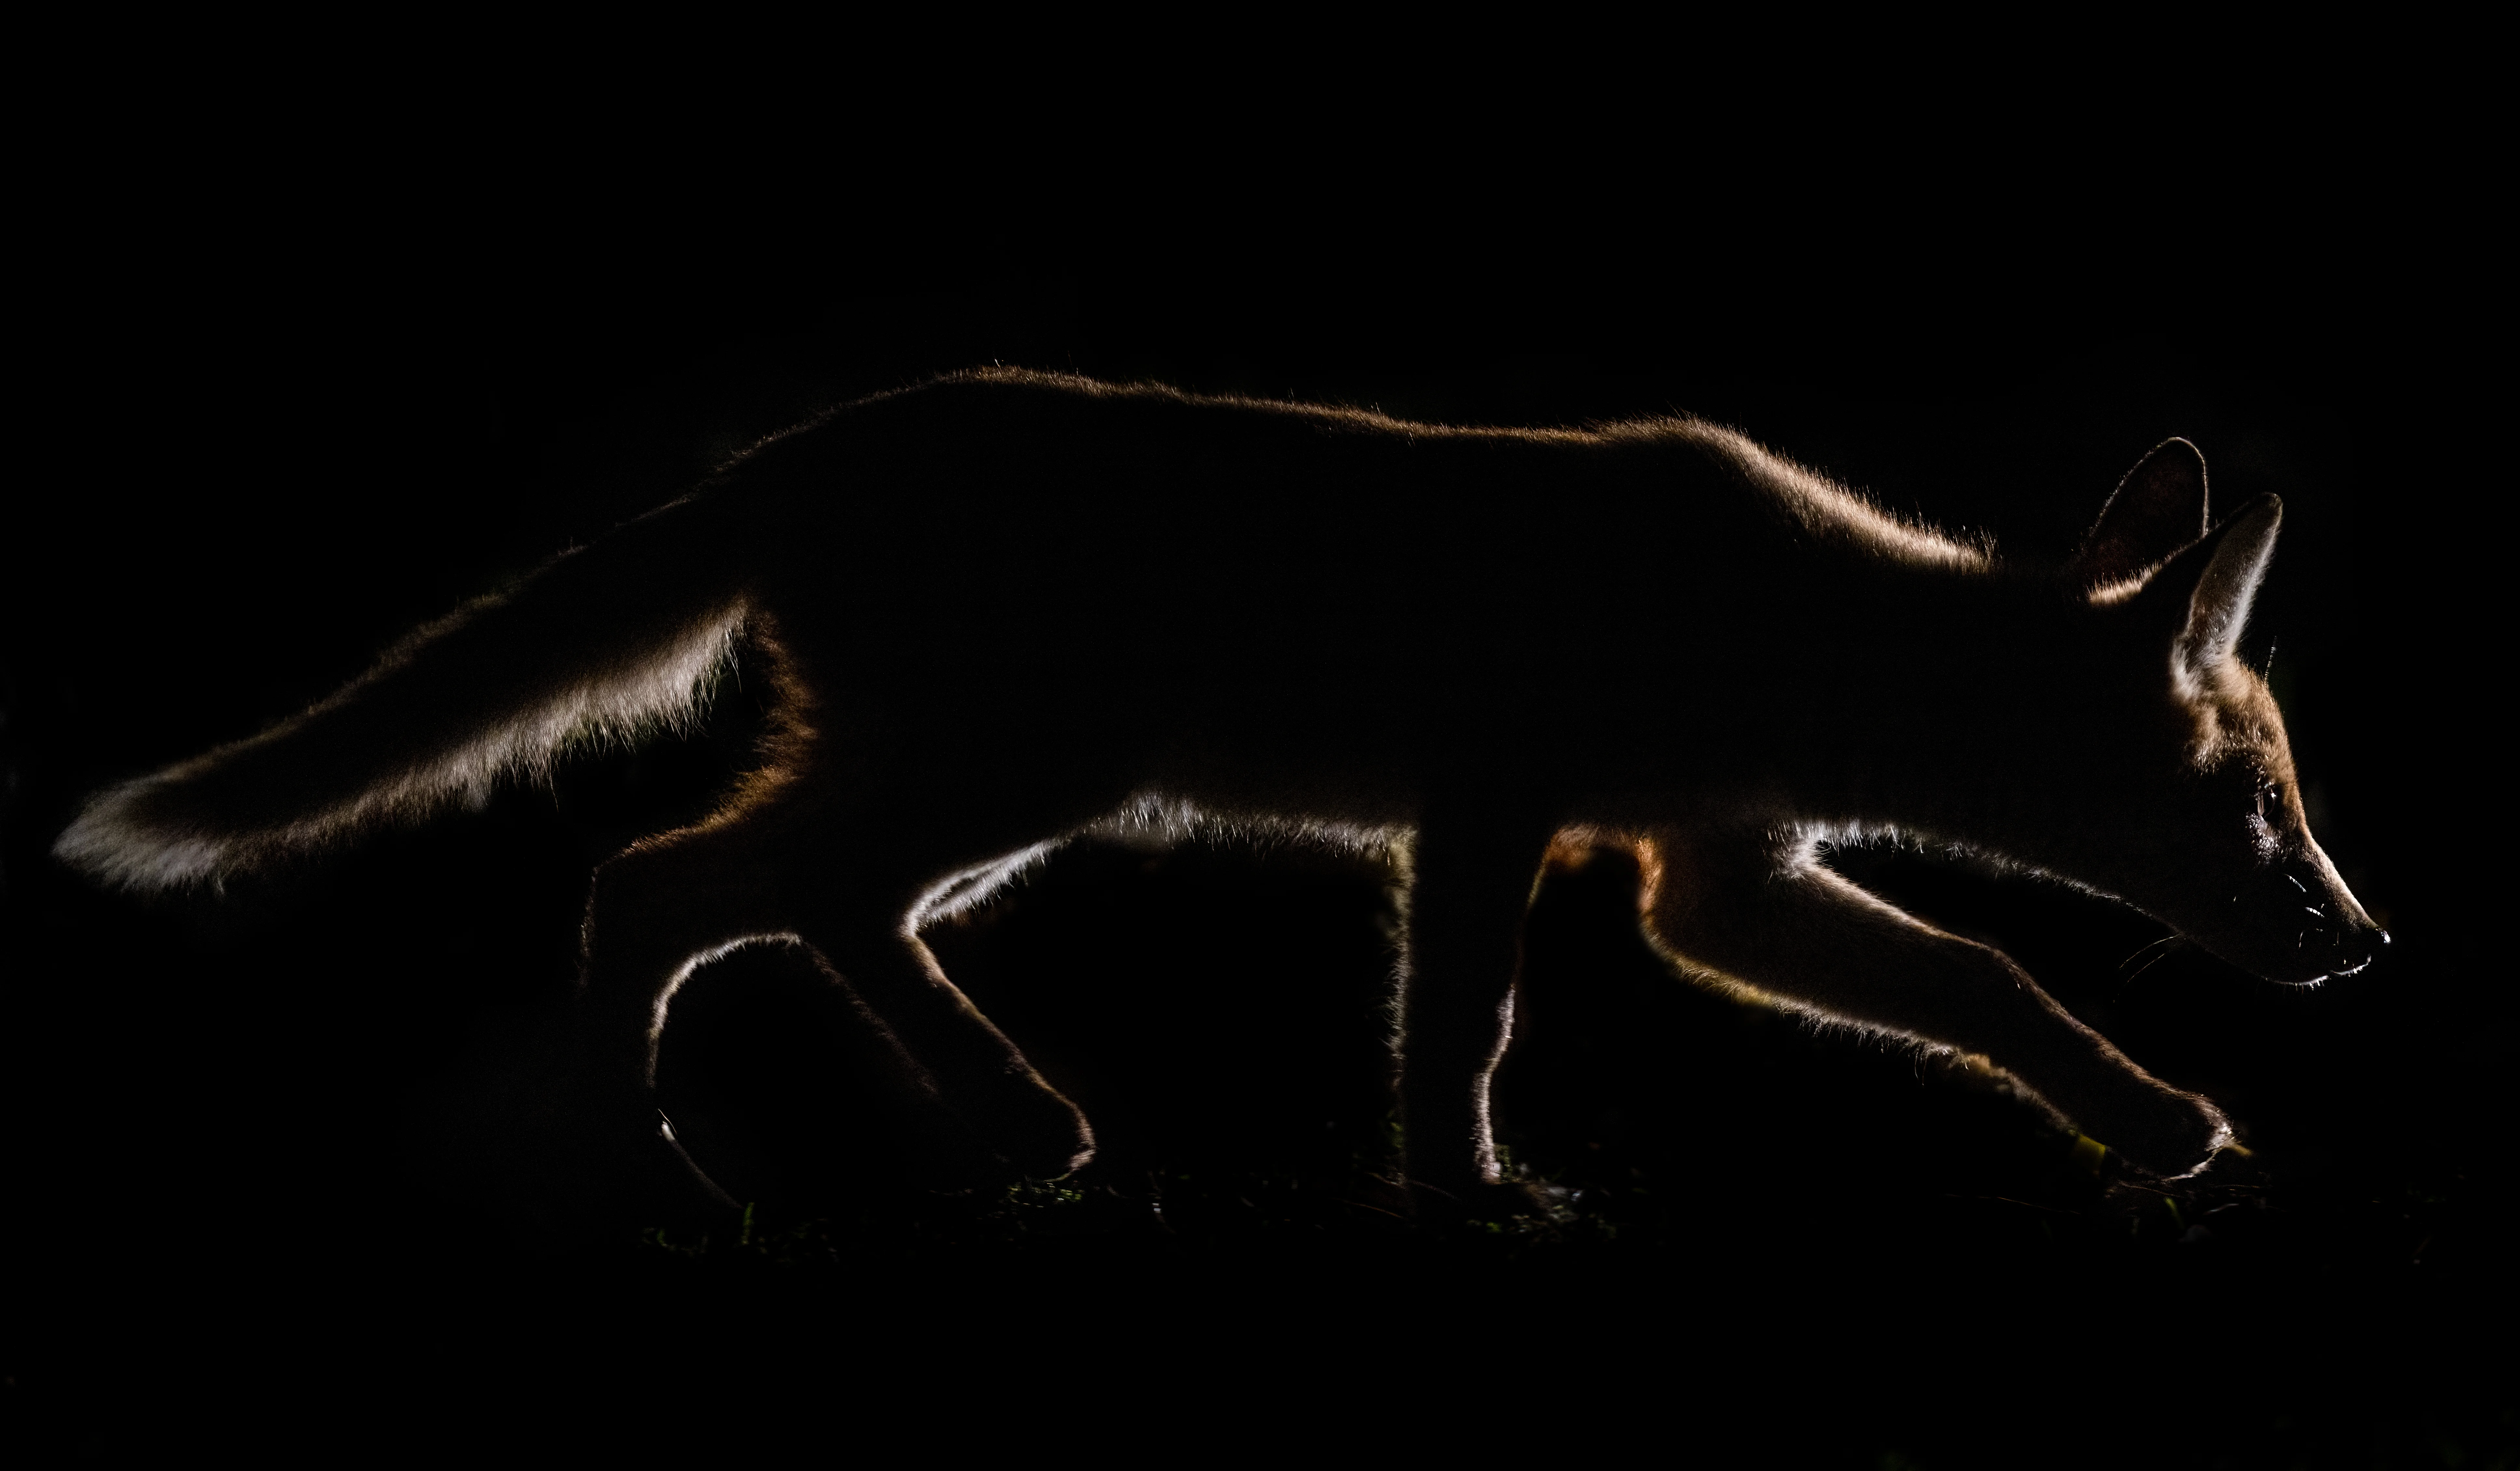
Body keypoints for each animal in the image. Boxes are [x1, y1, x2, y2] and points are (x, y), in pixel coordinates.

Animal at [55, 368, 2386, 1217]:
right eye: (2262, 813)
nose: (2361, 941)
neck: (1788, 621)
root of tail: (798, 449)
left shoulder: (1700, 871)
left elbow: (1987, 982)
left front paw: (2150, 1122)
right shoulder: (1499, 809)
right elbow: (1456, 1022)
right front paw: (1463, 1194)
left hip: (1005, 807)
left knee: (775, 899)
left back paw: (995, 1129)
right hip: (1009, 773)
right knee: (656, 880)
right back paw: (685, 1177)